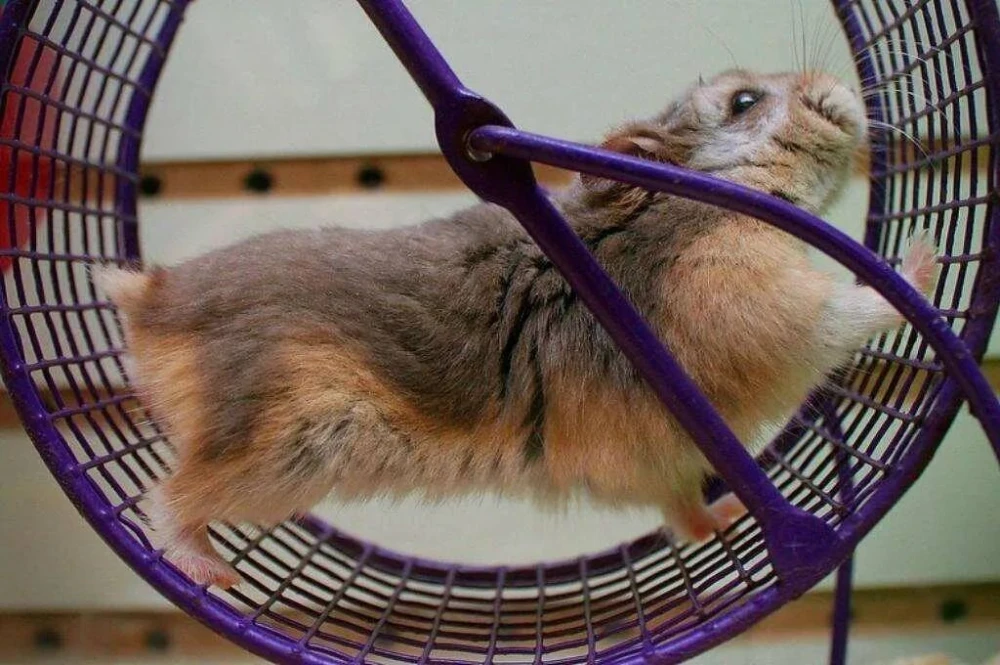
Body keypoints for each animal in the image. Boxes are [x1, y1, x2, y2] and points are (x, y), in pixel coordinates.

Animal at [95, 69, 937, 589]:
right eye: (743, 101)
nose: (844, 92)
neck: (698, 203)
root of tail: (150, 299)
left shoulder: (666, 461)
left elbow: (684, 513)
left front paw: (727, 516)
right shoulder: (763, 309)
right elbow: (852, 306)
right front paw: (923, 261)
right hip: (274, 450)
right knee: (165, 498)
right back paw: (213, 571)